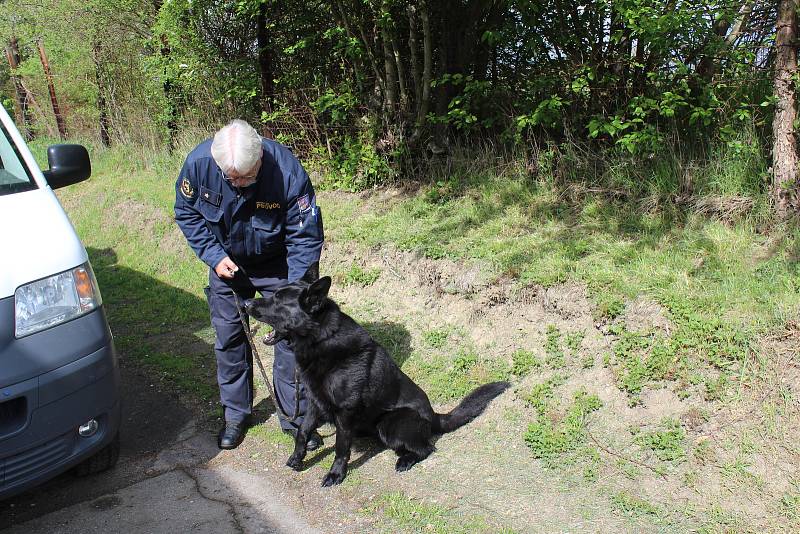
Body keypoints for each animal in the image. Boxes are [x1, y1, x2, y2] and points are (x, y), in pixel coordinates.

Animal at [244, 264, 510, 490]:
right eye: (273, 295)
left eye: (278, 301)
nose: (245, 303)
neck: (322, 339)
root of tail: (434, 416)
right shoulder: (314, 403)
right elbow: (302, 431)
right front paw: (297, 458)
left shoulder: (344, 412)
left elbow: (341, 447)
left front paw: (335, 474)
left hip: (390, 425)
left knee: (427, 448)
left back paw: (406, 460)